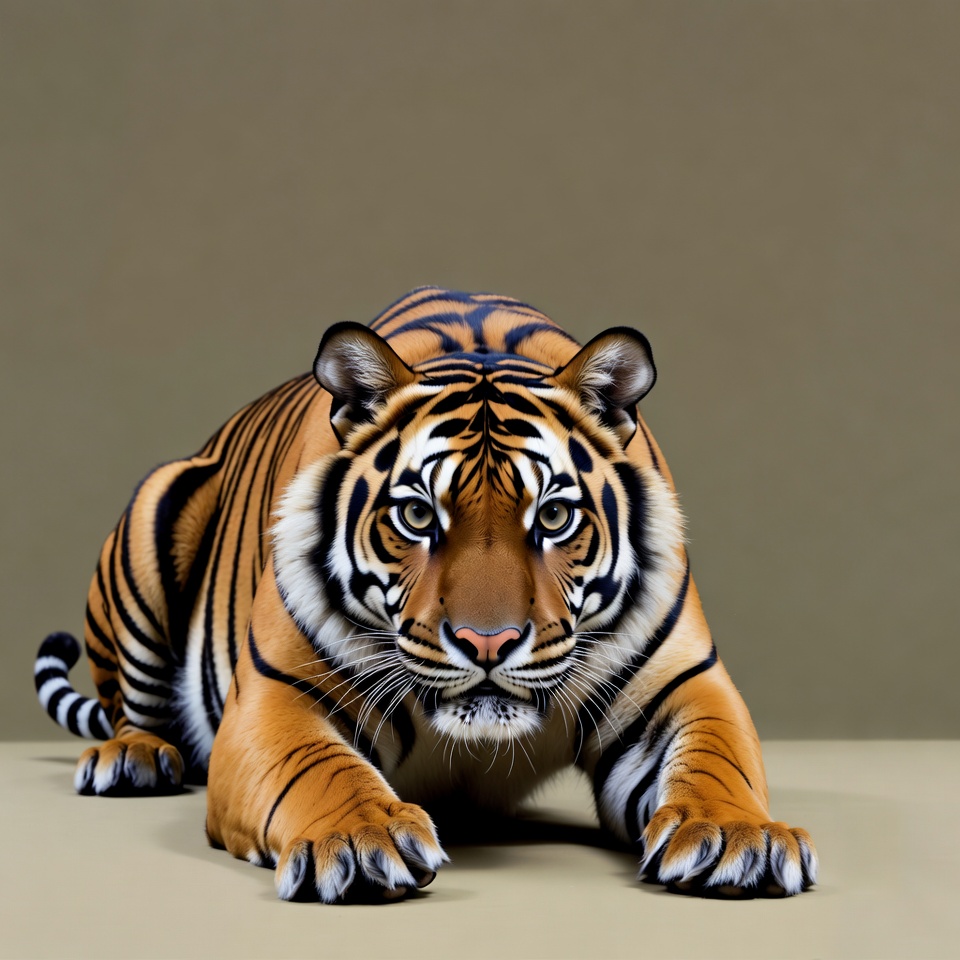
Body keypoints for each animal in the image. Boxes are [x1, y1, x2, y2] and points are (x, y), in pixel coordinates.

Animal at [34, 286, 817, 901]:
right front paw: (358, 839)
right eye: (417, 515)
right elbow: (315, 768)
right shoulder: (274, 698)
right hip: (158, 503)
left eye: (553, 517)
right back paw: (133, 759)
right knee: (130, 707)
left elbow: (716, 757)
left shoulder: (684, 685)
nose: (487, 644)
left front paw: (737, 836)